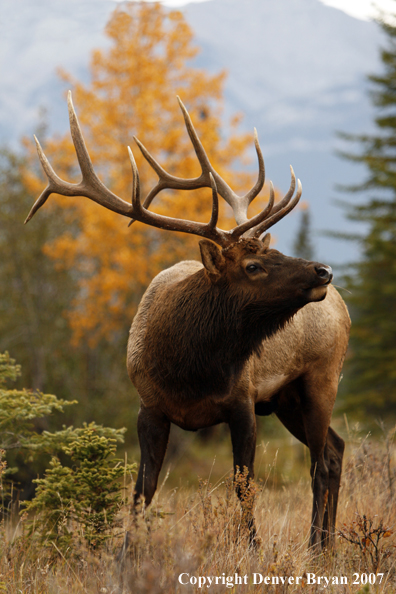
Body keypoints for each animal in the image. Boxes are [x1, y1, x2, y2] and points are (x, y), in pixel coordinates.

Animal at [26, 91, 350, 544]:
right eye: (252, 265)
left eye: (272, 251)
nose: (323, 271)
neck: (189, 368)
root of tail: (343, 305)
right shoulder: (149, 406)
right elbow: (142, 491)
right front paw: (127, 553)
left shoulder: (243, 401)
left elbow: (244, 486)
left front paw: (252, 548)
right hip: (287, 398)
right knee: (334, 452)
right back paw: (325, 545)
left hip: (321, 378)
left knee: (320, 463)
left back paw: (317, 545)